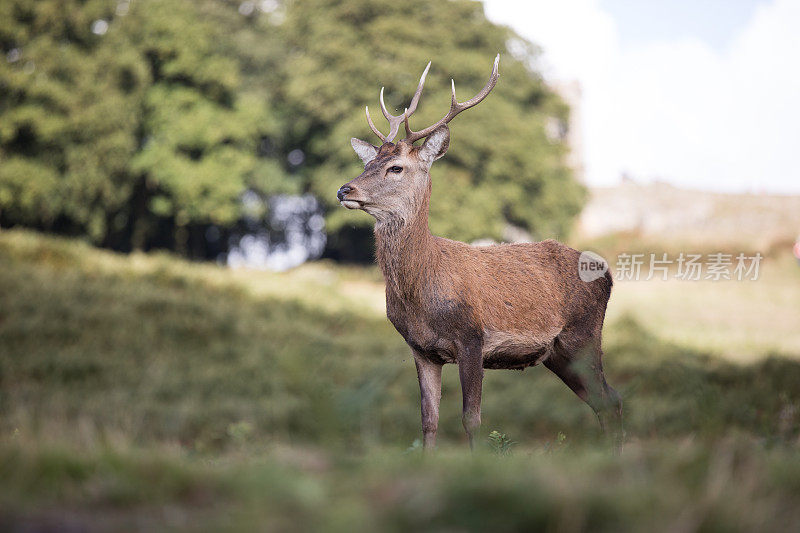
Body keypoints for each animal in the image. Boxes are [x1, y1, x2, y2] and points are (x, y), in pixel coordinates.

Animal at [334, 56, 620, 450]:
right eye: (367, 165)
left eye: (396, 168)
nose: (344, 189)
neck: (422, 292)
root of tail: (607, 273)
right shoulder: (421, 349)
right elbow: (428, 421)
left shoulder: (472, 338)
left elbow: (471, 419)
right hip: (559, 353)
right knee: (605, 401)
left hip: (585, 334)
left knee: (610, 400)